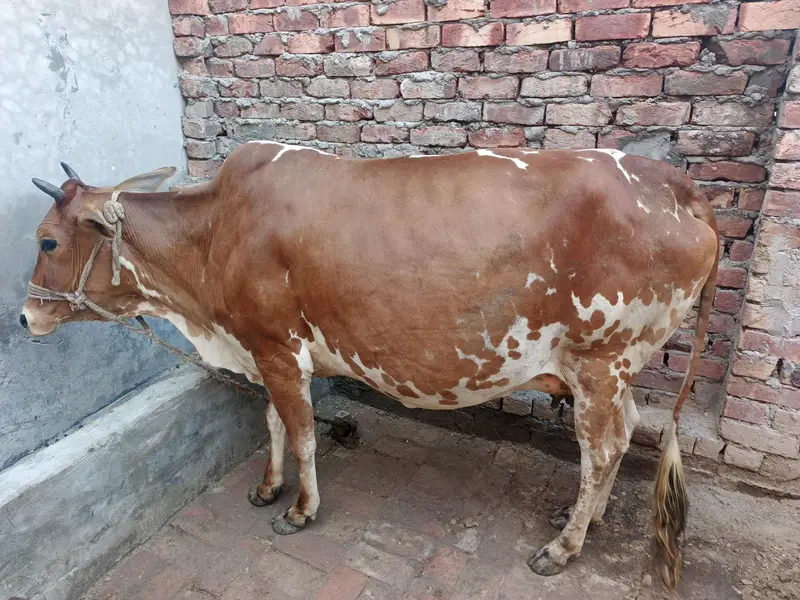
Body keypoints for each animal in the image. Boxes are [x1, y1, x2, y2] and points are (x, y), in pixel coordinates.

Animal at [22, 143, 718, 590]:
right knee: (625, 434)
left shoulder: (277, 349)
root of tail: (674, 184)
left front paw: (300, 510)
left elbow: (302, 432)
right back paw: (588, 518)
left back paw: (564, 546)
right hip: (615, 370)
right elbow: (273, 425)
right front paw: (268, 486)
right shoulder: (262, 348)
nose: (26, 317)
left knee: (602, 451)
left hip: (600, 363)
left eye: (48, 241)